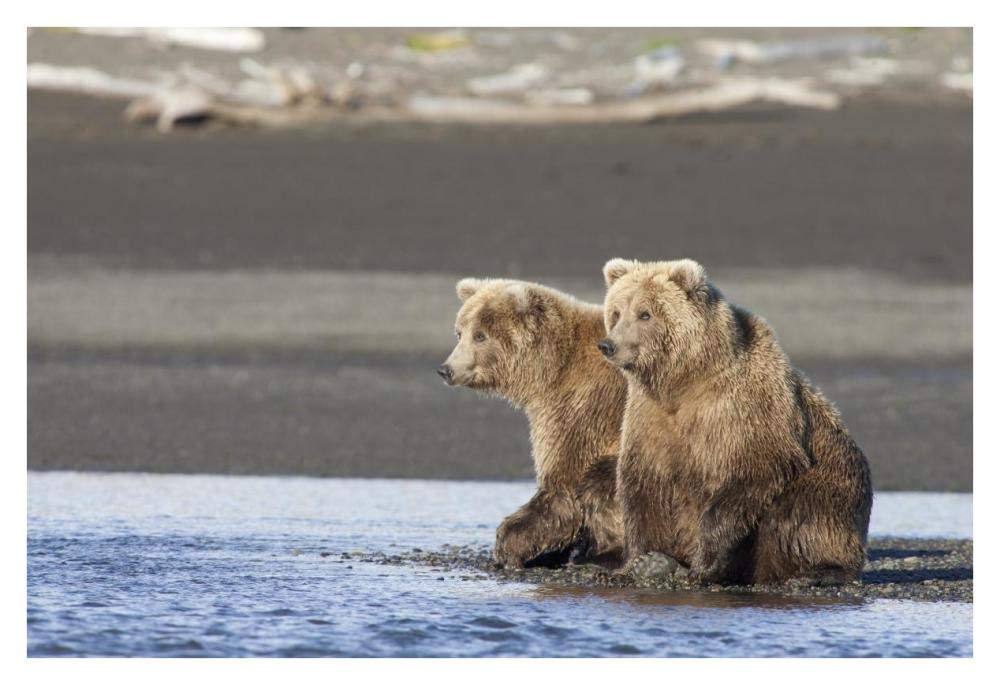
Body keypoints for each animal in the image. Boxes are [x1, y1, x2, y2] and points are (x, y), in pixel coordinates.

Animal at [439, 277, 627, 568]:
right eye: (459, 332)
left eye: (480, 335)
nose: (447, 369)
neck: (552, 369)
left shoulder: (582, 406)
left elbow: (564, 483)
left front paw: (510, 544)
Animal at [598, 258, 873, 585]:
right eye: (616, 312)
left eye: (645, 313)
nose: (608, 345)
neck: (683, 382)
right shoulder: (649, 418)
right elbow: (644, 487)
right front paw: (641, 561)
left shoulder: (742, 409)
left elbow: (752, 472)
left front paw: (702, 565)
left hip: (835, 481)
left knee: (801, 516)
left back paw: (817, 571)